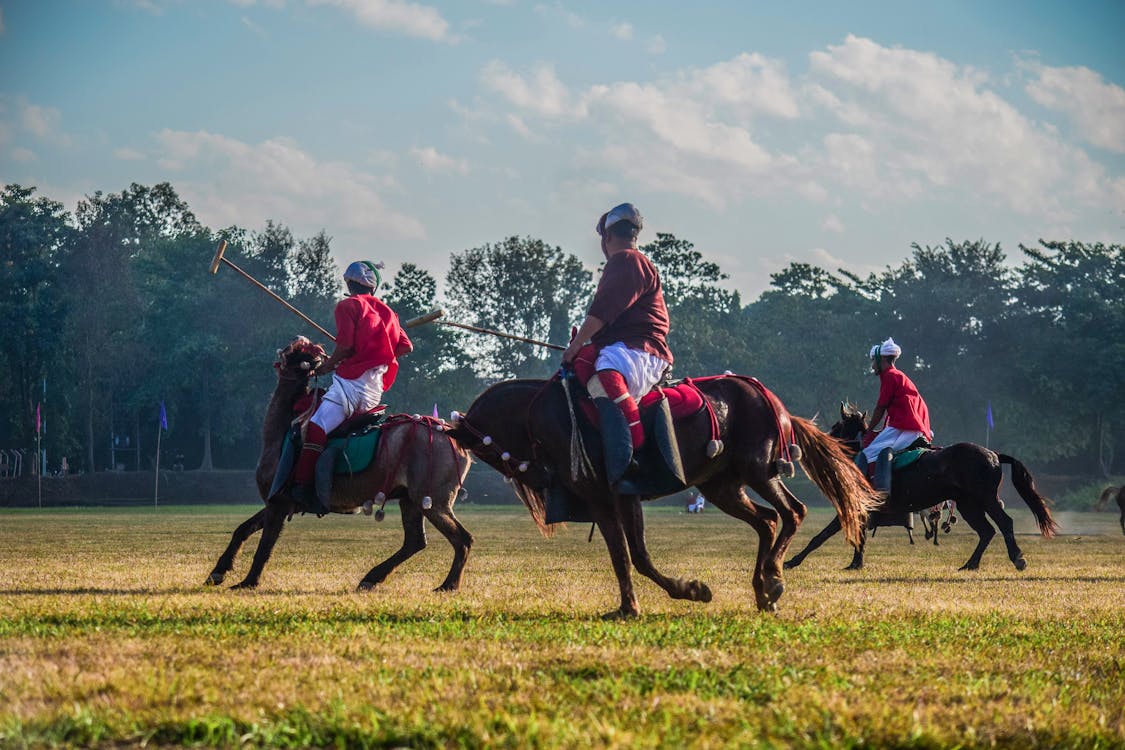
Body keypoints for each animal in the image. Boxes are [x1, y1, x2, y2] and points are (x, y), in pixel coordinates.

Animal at [204, 339, 472, 593]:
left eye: (297, 350)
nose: (283, 348)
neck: (282, 430)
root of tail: (454, 436)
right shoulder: (280, 501)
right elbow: (242, 530)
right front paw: (218, 572)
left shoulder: (278, 502)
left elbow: (264, 547)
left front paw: (248, 581)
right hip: (411, 499)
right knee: (415, 541)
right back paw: (372, 578)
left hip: (432, 499)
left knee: (462, 539)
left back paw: (448, 584)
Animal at [447, 373, 877, 616]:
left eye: (487, 451)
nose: (536, 474)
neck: (551, 415)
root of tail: (772, 401)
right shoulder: (602, 502)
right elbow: (621, 557)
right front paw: (627, 607)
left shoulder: (624, 494)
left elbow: (638, 555)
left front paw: (689, 590)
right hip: (721, 485)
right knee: (768, 520)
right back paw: (763, 589)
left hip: (759, 469)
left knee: (793, 512)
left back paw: (772, 577)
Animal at [787, 407, 1057, 571]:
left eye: (837, 426)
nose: (820, 440)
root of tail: (993, 454)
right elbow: (858, 538)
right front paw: (856, 563)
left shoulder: (853, 506)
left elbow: (820, 536)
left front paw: (792, 561)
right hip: (969, 504)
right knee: (987, 531)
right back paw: (970, 564)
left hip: (985, 499)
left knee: (1004, 523)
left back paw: (1017, 558)